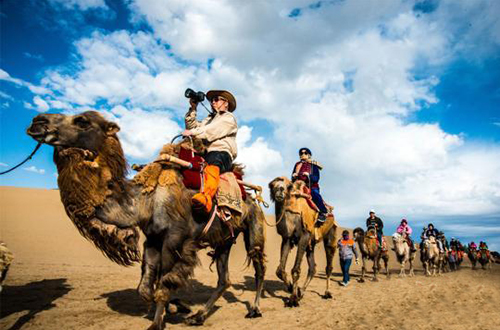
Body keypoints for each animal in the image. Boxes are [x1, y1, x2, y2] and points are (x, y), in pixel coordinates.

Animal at [26, 111, 270, 330]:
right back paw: (198, 317)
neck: (144, 201)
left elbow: (164, 283)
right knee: (224, 279)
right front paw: (177, 306)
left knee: (258, 266)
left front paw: (157, 322)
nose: (37, 121)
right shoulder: (152, 239)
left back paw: (255, 309)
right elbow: (145, 287)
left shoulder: (175, 240)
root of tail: (252, 196)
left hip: (254, 226)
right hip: (224, 239)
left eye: (82, 121)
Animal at [268, 178, 338, 306]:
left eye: (288, 186)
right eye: (272, 185)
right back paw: (302, 291)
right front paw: (292, 288)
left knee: (329, 265)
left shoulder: (304, 235)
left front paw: (293, 299)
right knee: (312, 268)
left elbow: (295, 270)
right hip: (311, 244)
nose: (280, 189)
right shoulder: (287, 238)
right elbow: (280, 270)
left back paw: (327, 293)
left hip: (331, 234)